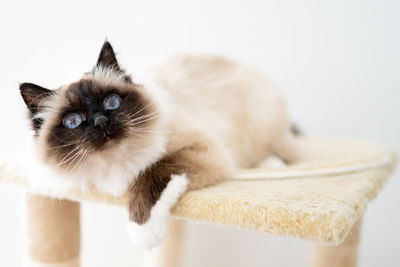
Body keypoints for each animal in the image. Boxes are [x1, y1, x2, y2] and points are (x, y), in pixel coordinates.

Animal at [20, 40, 298, 250]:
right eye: (73, 121)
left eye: (111, 102)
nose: (101, 122)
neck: (116, 164)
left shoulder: (201, 149)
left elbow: (151, 173)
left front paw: (143, 233)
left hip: (261, 122)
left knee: (284, 149)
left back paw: (272, 165)